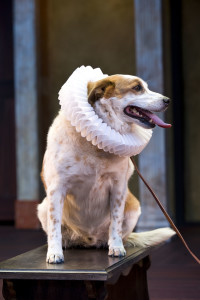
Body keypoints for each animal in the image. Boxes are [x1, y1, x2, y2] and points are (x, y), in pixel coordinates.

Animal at [37, 67, 175, 264]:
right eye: (137, 87)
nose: (167, 100)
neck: (94, 145)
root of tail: (89, 240)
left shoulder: (118, 188)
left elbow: (115, 223)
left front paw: (116, 247)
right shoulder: (57, 189)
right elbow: (54, 226)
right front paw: (54, 252)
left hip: (133, 206)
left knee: (116, 233)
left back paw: (110, 243)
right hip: (43, 206)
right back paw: (65, 244)